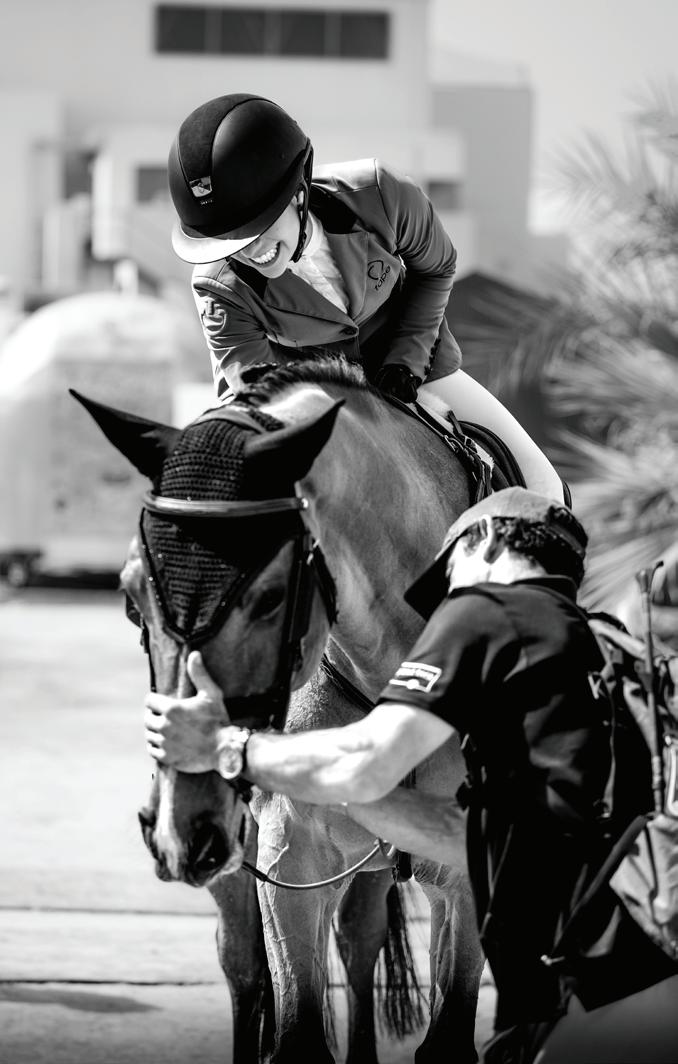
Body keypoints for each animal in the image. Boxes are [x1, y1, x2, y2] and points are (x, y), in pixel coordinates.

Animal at [73, 357, 485, 1063]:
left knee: (358, 939)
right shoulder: (291, 854)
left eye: (269, 599)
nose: (183, 825)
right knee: (244, 965)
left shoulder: (463, 873)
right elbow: (295, 1031)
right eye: (130, 599)